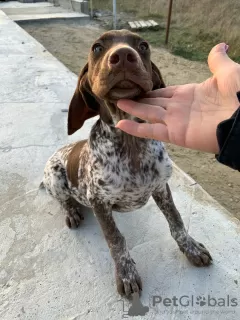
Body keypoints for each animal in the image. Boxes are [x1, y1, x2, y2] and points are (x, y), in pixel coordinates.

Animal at [41, 28, 212, 298]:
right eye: (97, 48)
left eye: (143, 45)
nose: (122, 56)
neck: (130, 143)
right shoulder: (98, 202)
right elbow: (116, 239)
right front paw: (126, 274)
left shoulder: (161, 188)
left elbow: (176, 221)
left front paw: (191, 247)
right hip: (55, 176)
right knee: (62, 200)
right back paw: (72, 211)